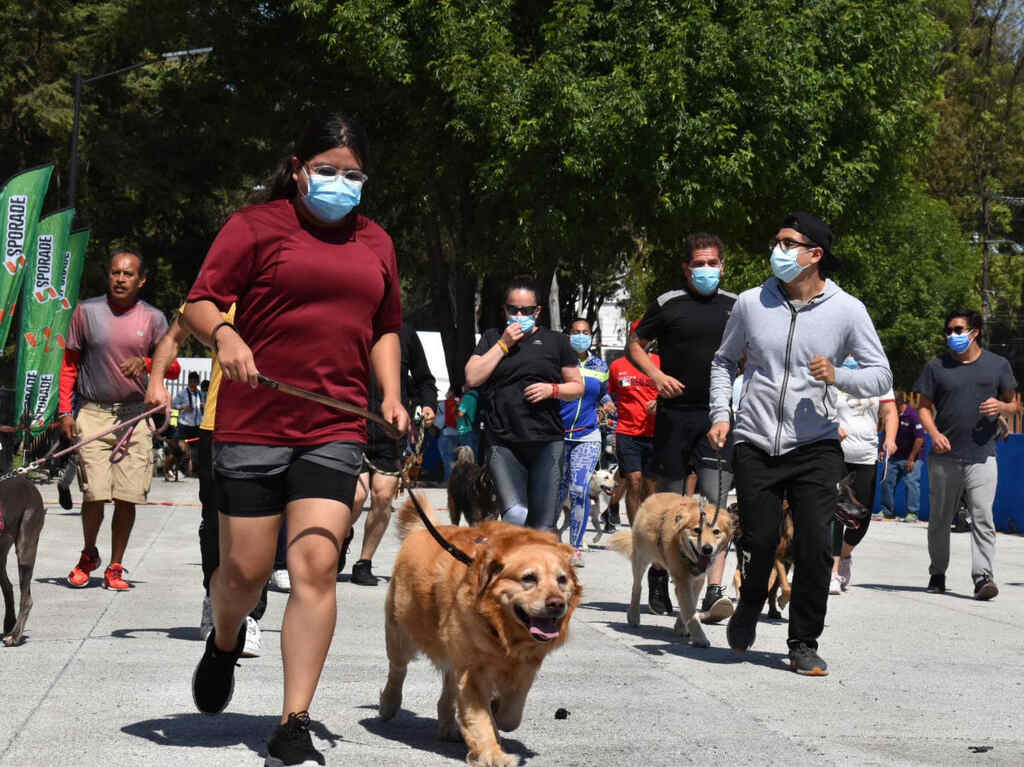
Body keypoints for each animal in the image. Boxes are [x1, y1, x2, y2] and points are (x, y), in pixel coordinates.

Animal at [380, 491, 581, 765]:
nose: (557, 604)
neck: (502, 629)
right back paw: (389, 704)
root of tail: (424, 529)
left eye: (562, 580)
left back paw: (449, 727)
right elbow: (481, 719)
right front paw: (493, 754)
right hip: (401, 634)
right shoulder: (474, 670)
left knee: (447, 692)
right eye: (529, 578)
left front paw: (496, 712)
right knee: (398, 670)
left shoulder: (525, 668)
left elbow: (511, 715)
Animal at [606, 491, 737, 647]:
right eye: (697, 530)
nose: (707, 549)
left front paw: (681, 627)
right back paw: (633, 616)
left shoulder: (697, 580)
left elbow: (690, 605)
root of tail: (655, 495)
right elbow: (690, 612)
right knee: (637, 587)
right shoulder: (683, 581)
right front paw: (700, 638)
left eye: (716, 531)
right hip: (641, 558)